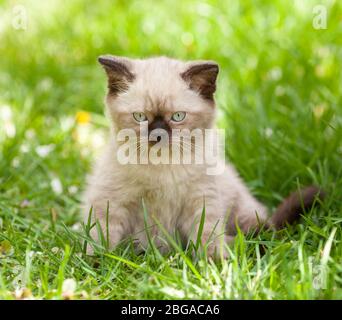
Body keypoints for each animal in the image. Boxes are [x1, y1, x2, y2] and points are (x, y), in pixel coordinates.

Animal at [82, 55, 324, 258]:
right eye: (140, 117)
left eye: (178, 117)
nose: (158, 135)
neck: (163, 167)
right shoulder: (112, 202)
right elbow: (102, 239)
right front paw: (99, 264)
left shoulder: (201, 201)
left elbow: (207, 237)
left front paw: (214, 266)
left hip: (243, 211)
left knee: (262, 230)